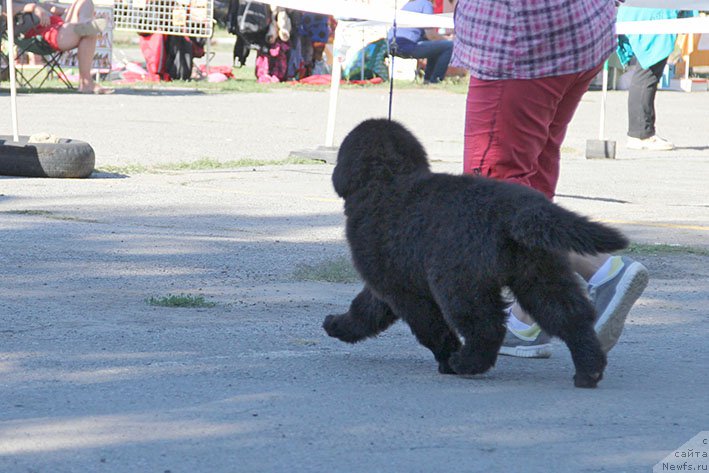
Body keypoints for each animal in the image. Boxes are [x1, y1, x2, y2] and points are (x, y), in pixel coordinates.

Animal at [324, 118, 628, 388]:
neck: (385, 181)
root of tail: (514, 208)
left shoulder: (401, 290)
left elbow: (432, 328)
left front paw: (446, 361)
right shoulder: (390, 283)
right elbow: (365, 310)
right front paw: (338, 325)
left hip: (459, 283)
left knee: (487, 326)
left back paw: (466, 363)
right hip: (539, 274)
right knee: (570, 316)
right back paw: (588, 371)